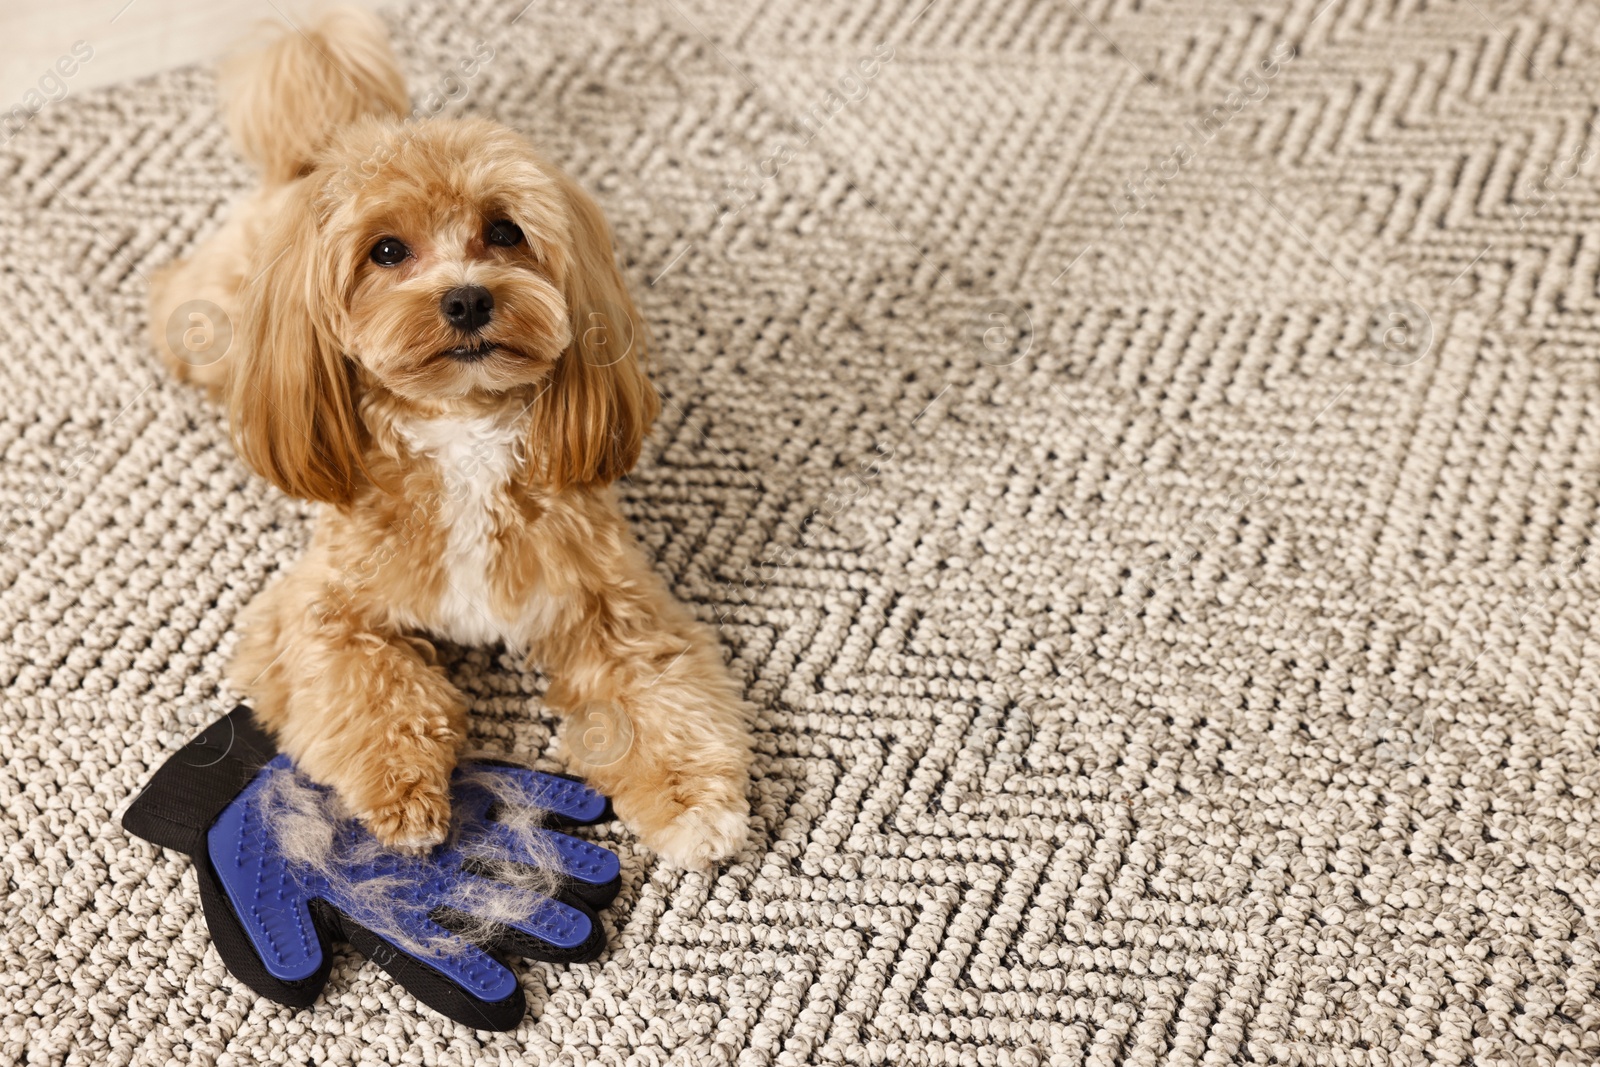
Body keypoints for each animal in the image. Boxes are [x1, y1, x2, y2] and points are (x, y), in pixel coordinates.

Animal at [150, 8, 748, 870]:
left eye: (504, 230)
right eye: (386, 251)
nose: (466, 299)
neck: (463, 434)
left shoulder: (610, 598)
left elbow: (660, 692)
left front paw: (693, 800)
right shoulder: (317, 612)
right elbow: (373, 684)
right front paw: (404, 793)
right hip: (218, 318)